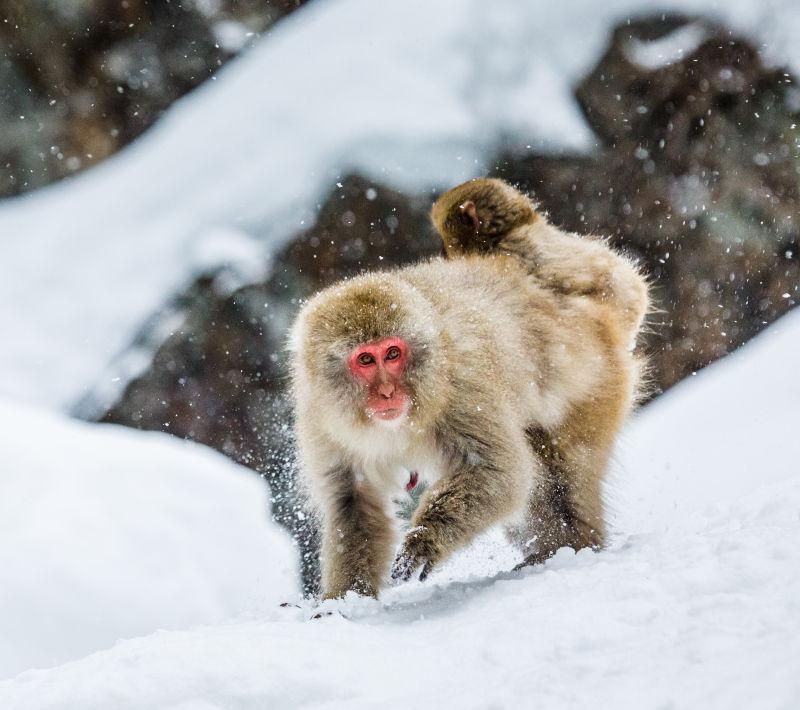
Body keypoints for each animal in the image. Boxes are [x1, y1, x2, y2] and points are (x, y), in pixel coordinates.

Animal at [290, 178, 648, 600]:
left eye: (392, 353)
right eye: (365, 360)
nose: (387, 393)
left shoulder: (462, 388)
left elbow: (500, 472)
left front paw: (424, 541)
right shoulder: (321, 421)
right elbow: (352, 502)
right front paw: (343, 601)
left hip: (594, 386)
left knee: (564, 461)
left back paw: (570, 545)